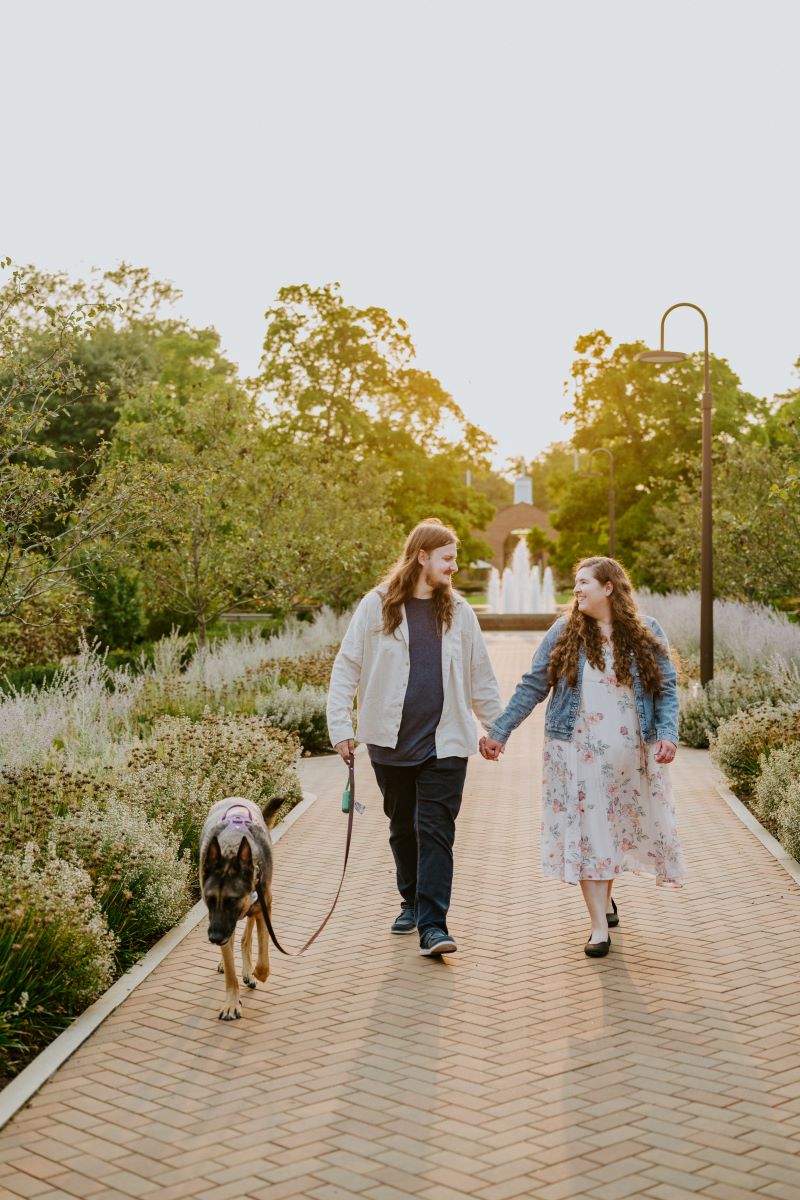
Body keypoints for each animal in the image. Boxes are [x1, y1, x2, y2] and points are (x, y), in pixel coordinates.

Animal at [199, 796, 284, 1022]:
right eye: (209, 899)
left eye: (232, 900)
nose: (214, 938)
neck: (232, 846)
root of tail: (235, 798)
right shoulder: (221, 923)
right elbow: (230, 972)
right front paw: (231, 1003)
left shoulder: (263, 909)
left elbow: (263, 961)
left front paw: (255, 973)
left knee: (247, 937)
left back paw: (248, 970)